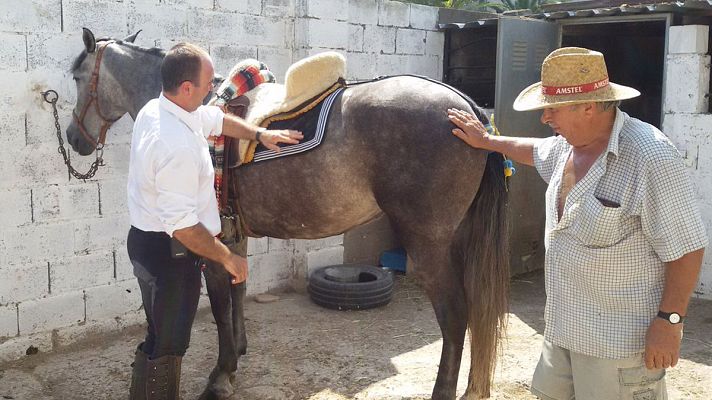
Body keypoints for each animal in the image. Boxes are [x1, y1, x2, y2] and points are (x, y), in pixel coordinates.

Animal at [66, 28, 509, 400]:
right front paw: (239, 352)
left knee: (455, 316)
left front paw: (221, 375)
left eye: (77, 77)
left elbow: (221, 308)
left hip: (429, 244)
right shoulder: (235, 235)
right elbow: (239, 290)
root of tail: (468, 111)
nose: (73, 138)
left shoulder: (214, 239)